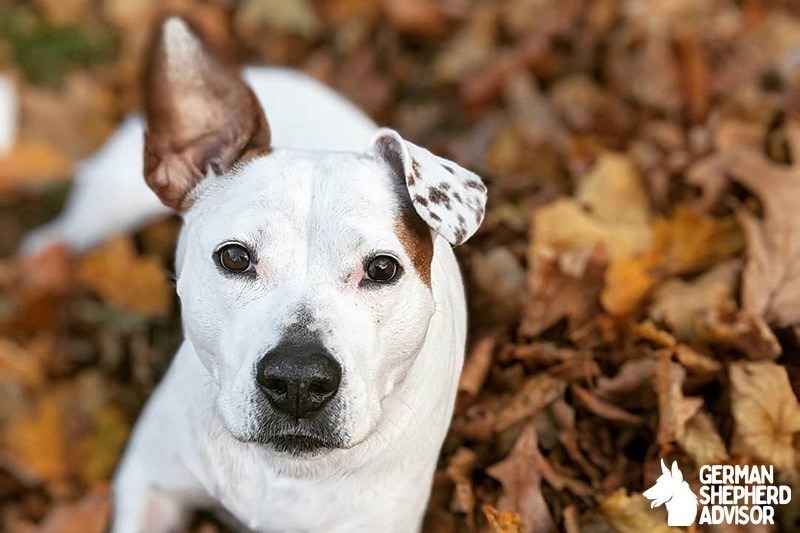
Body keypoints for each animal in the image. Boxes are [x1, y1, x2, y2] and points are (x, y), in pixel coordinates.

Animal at [23, 17, 488, 532]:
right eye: (235, 258)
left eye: (382, 268)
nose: (299, 380)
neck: (283, 470)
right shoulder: (150, 482)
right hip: (109, 204)